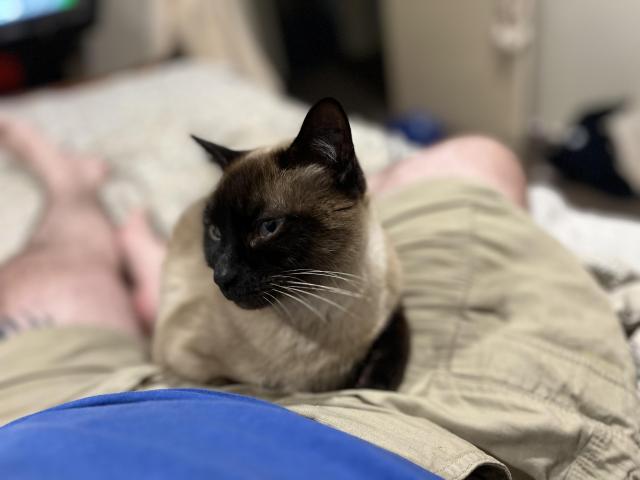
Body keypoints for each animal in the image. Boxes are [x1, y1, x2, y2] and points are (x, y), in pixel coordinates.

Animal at [152, 98, 408, 394]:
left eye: (268, 227)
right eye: (215, 232)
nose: (221, 277)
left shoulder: (393, 307)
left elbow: (392, 345)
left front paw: (372, 381)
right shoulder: (183, 362)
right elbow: (230, 387)